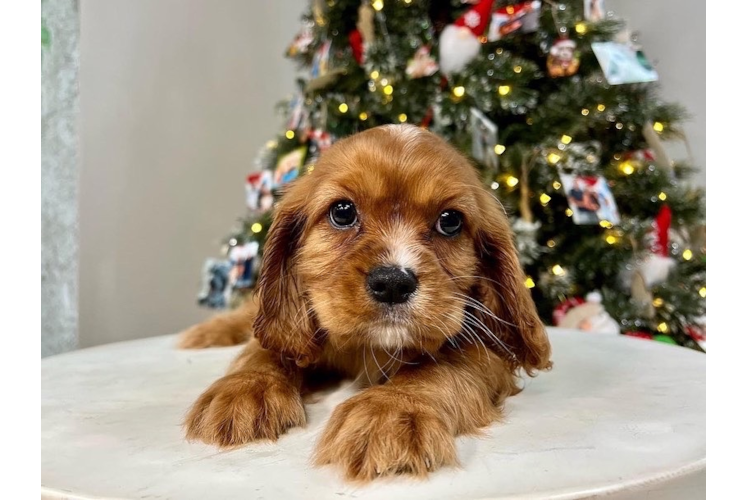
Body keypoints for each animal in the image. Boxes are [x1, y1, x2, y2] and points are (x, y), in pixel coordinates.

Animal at [180, 124, 548, 480]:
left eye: (450, 221)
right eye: (342, 212)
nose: (393, 283)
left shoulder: (486, 346)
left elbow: (442, 366)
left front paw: (391, 411)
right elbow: (267, 347)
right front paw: (245, 388)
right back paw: (205, 334)